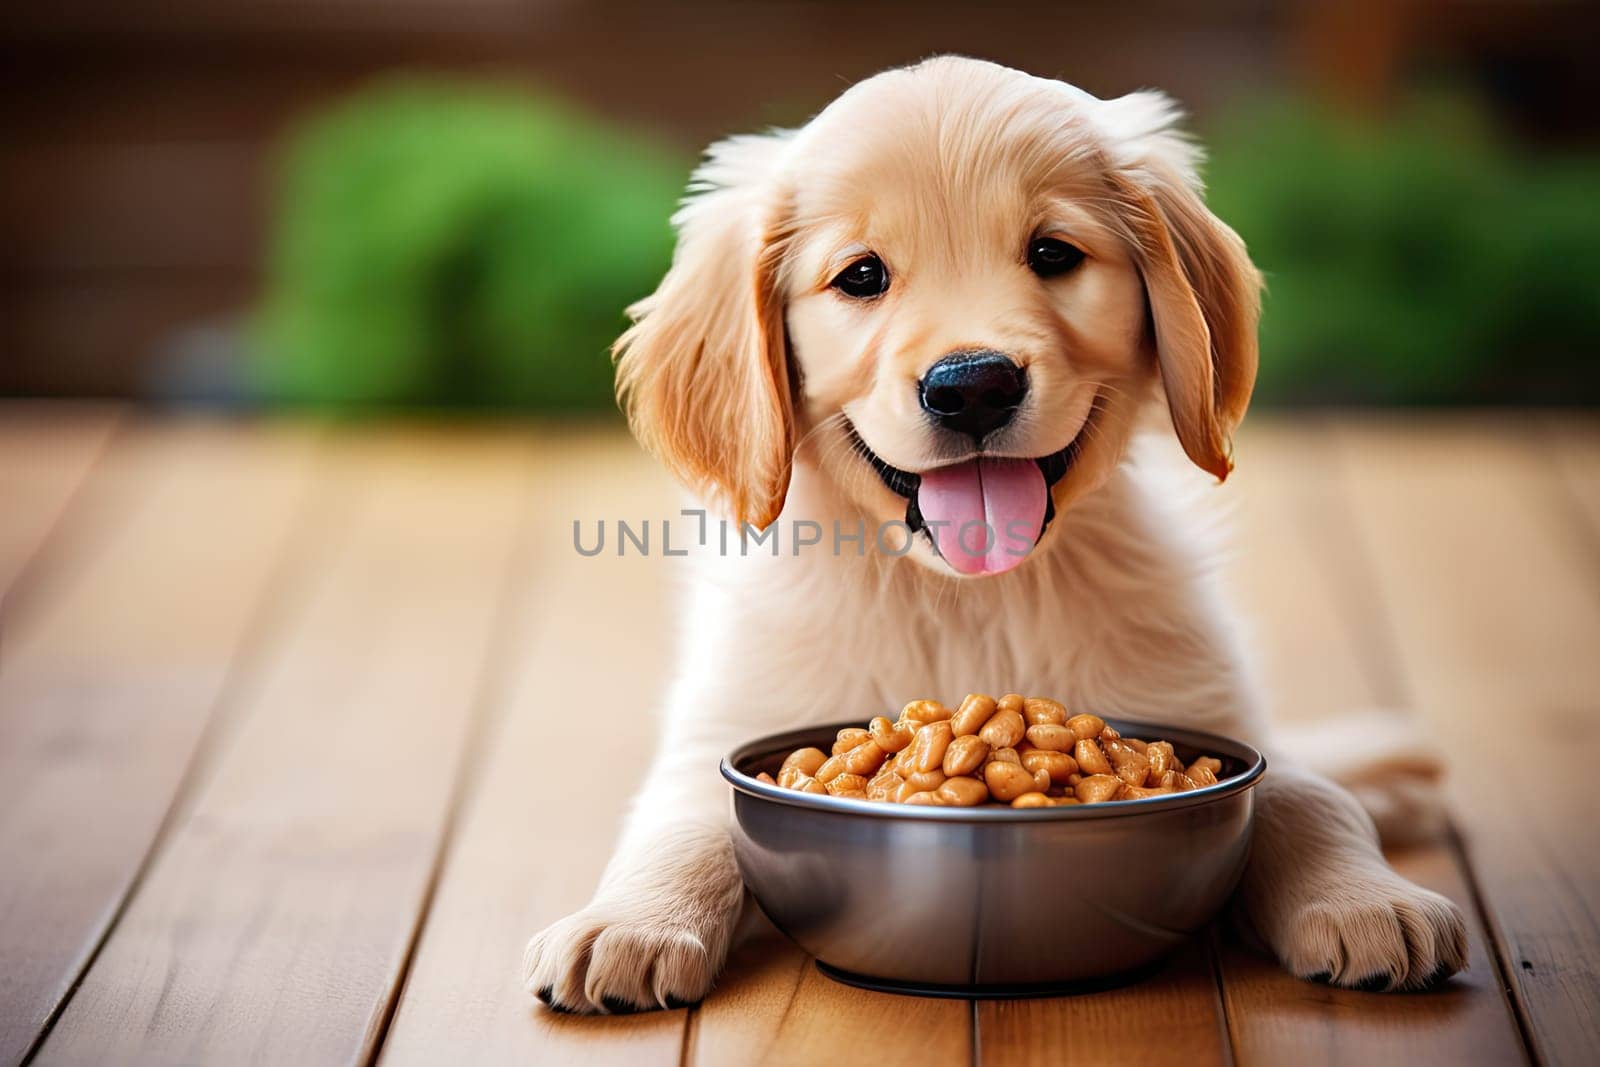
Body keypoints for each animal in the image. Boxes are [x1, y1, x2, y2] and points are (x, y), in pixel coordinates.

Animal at [521, 54, 1465, 1017]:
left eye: (1052, 254)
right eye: (861, 275)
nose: (972, 384)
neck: (968, 597)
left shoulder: (1207, 707)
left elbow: (1307, 798)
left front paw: (1371, 904)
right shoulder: (726, 722)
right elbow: (679, 819)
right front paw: (629, 925)